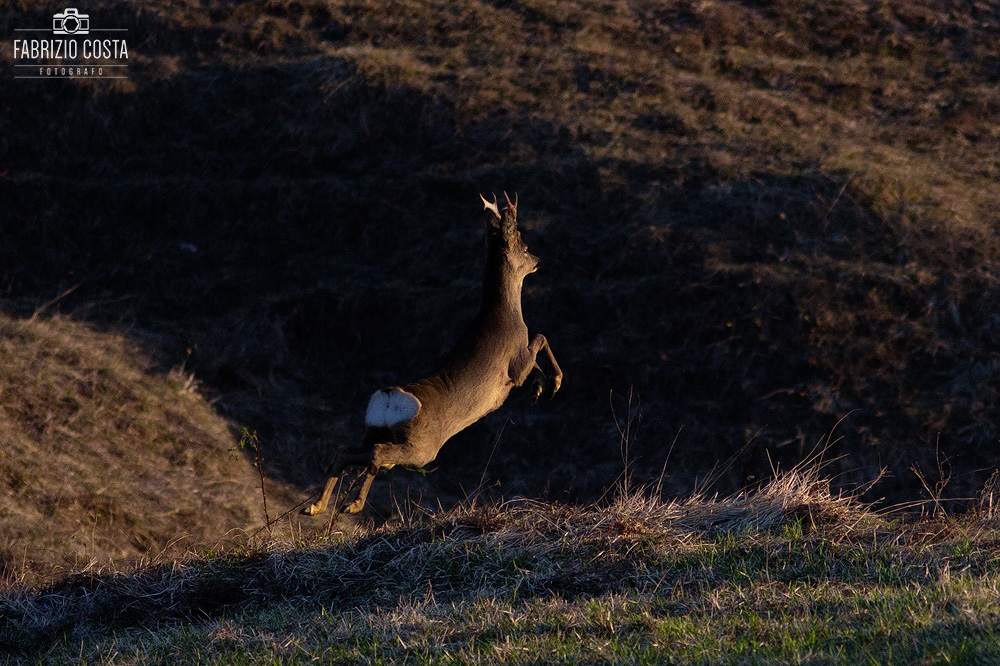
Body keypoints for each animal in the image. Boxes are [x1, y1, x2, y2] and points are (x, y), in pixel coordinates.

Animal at [300, 191, 564, 512]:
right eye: (524, 247)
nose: (538, 260)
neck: (505, 314)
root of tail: (388, 399)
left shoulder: (519, 366)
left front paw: (539, 388)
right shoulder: (515, 362)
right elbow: (541, 338)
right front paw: (554, 383)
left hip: (375, 430)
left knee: (345, 450)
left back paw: (316, 506)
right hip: (421, 447)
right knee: (378, 455)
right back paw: (353, 505)